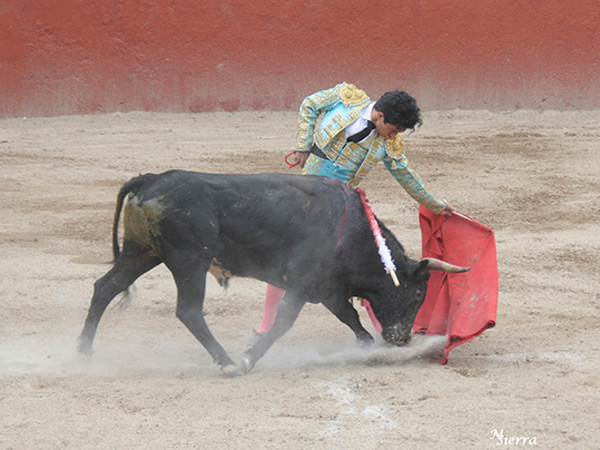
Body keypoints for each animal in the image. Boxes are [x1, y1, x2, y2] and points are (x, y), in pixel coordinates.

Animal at [77, 171, 468, 374]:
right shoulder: (303, 283)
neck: (352, 230)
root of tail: (151, 180)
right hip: (190, 262)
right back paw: (229, 363)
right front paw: (250, 356)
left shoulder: (327, 288)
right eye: (417, 294)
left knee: (105, 287)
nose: (401, 338)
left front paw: (366, 347)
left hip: (141, 252)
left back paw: (84, 352)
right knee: (188, 310)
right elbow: (284, 321)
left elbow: (350, 317)